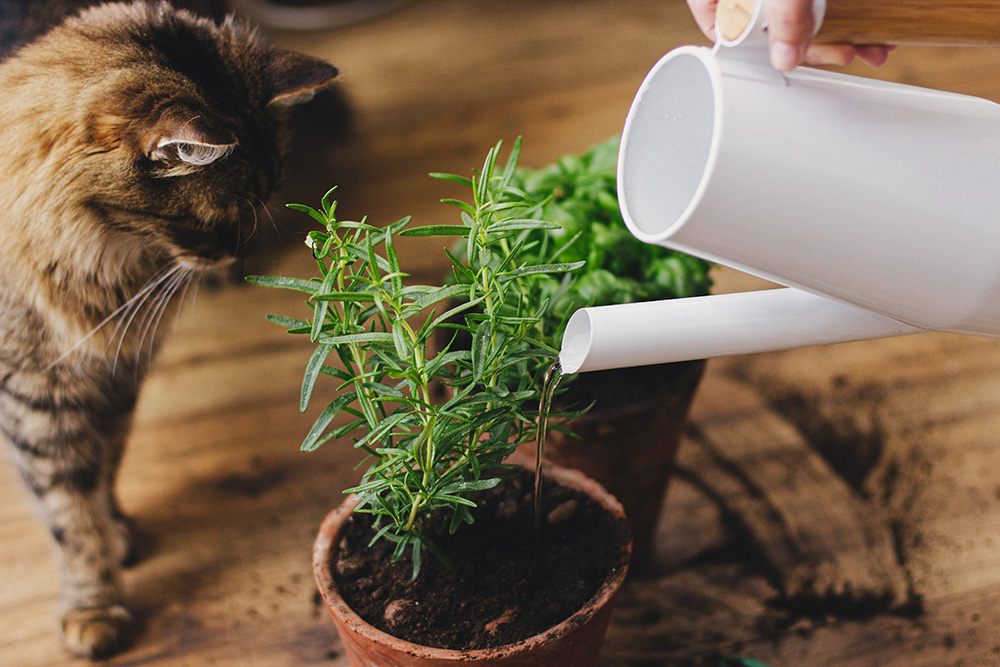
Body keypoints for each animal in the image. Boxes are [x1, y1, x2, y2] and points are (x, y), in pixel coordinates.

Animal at [0, 0, 340, 656]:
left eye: (267, 197)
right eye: (208, 221)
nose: (237, 257)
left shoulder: (118, 370)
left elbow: (104, 462)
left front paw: (115, 527)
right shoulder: (34, 397)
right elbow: (68, 512)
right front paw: (92, 604)